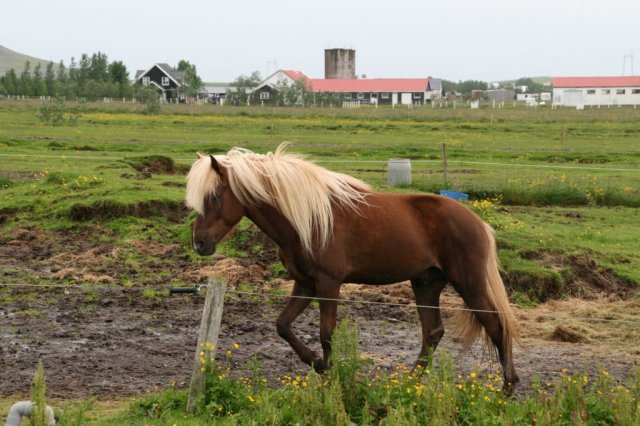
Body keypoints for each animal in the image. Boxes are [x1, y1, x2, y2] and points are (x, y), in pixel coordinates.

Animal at [186, 143, 520, 392]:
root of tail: (478, 223)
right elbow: (282, 326)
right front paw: (319, 365)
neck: (308, 219)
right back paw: (409, 384)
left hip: (469, 284)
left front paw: (333, 377)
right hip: (426, 283)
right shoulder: (304, 283)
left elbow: (326, 333)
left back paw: (507, 388)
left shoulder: (328, 283)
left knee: (496, 326)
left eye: (214, 196)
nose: (199, 243)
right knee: (433, 333)